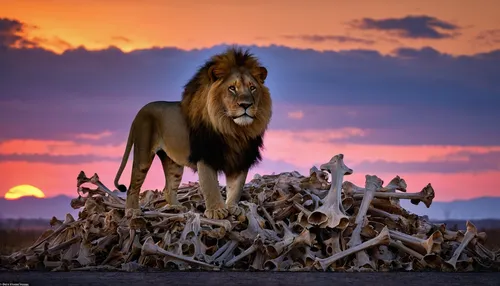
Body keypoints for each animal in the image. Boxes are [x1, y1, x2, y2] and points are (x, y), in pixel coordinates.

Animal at [113, 47, 272, 219]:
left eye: (252, 88)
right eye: (232, 88)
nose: (246, 105)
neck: (234, 130)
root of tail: (140, 111)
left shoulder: (241, 158)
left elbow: (236, 187)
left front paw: (233, 207)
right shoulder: (205, 156)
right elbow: (210, 186)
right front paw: (216, 211)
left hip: (173, 163)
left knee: (168, 188)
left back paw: (176, 208)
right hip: (143, 153)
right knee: (133, 185)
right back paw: (132, 211)